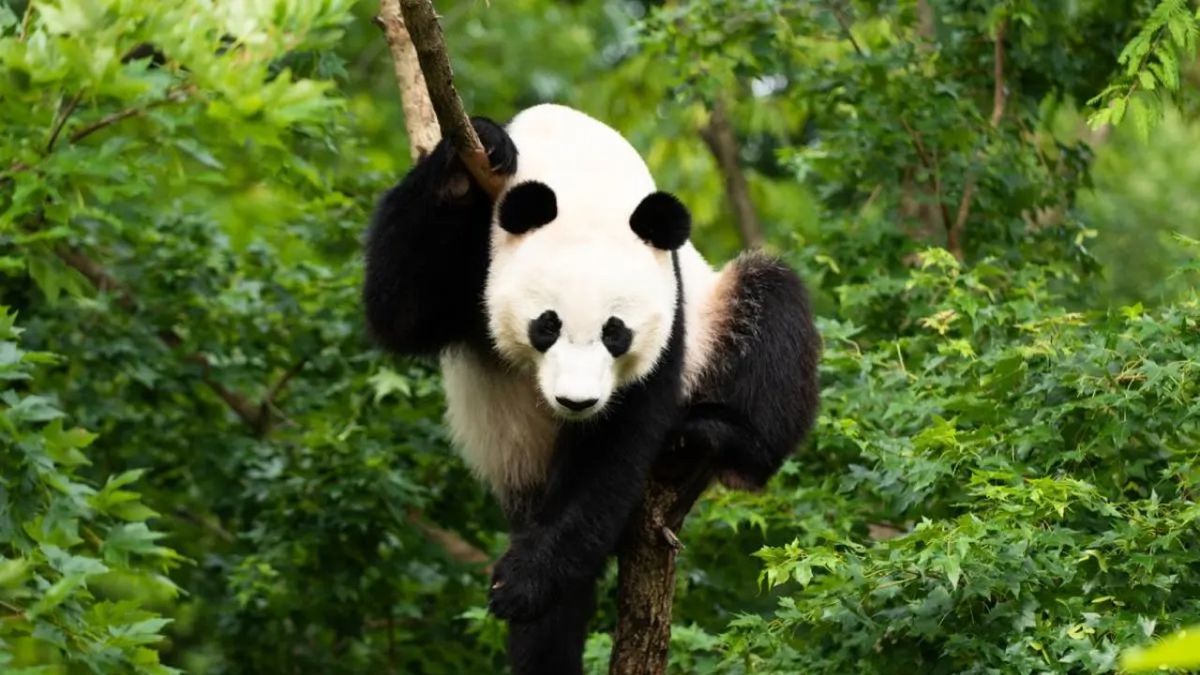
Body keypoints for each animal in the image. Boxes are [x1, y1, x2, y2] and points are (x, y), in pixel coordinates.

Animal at [363, 104, 819, 675]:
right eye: (546, 325)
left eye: (615, 332)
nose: (576, 402)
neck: (584, 179)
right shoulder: (479, 253)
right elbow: (398, 307)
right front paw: (478, 147)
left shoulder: (671, 304)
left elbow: (615, 446)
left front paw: (523, 583)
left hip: (719, 319)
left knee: (774, 307)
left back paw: (713, 439)